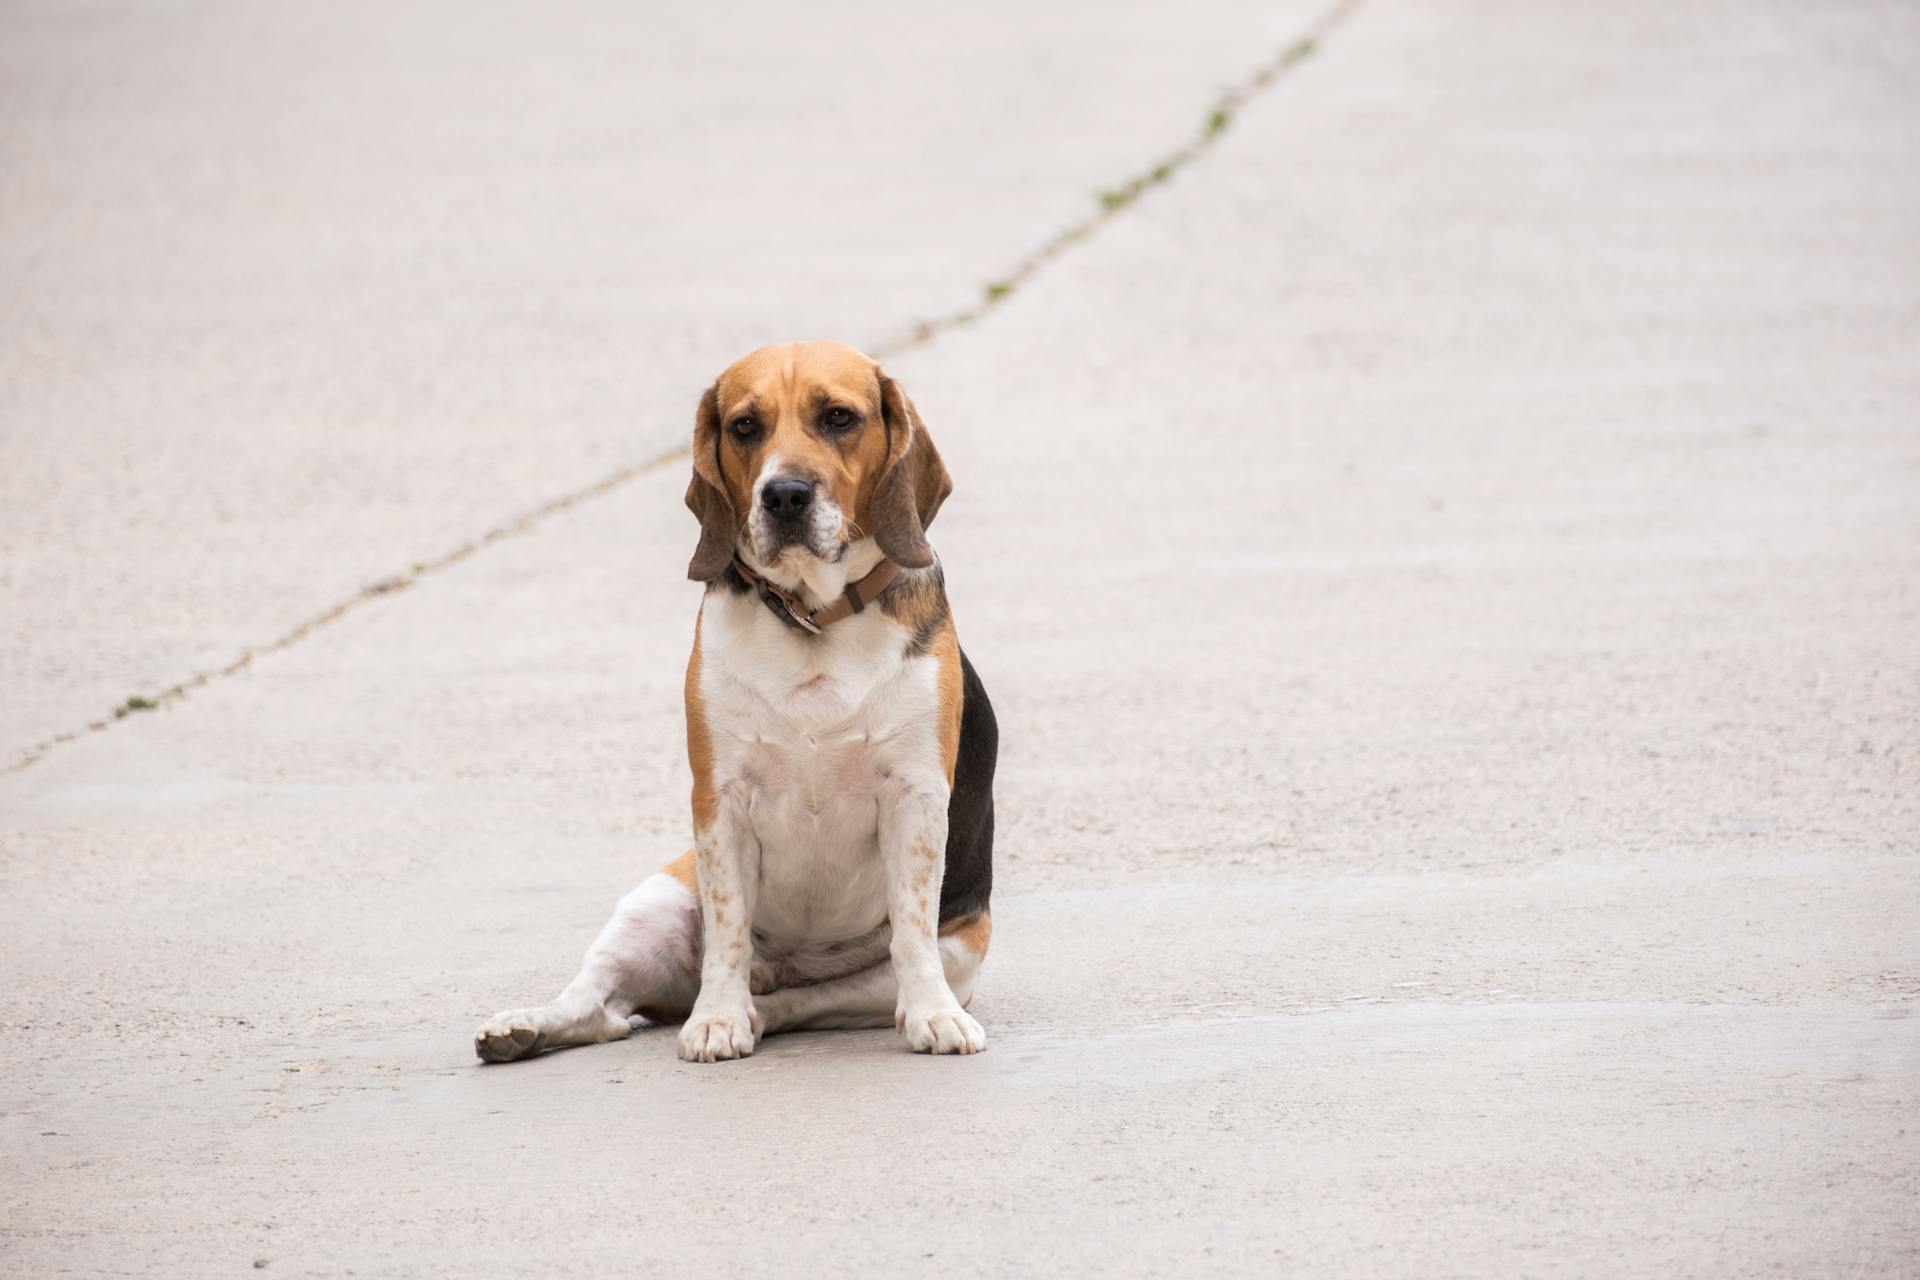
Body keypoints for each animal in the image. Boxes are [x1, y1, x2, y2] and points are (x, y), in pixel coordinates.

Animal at [472, 337, 998, 1059]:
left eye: (839, 417)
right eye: (745, 426)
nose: (784, 494)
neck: (811, 619)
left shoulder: (914, 799)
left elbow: (912, 928)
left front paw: (933, 1016)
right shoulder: (720, 801)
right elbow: (728, 928)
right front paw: (717, 1018)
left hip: (954, 954)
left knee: (798, 1002)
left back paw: (767, 1008)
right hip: (653, 901)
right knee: (599, 1007)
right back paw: (525, 1027)